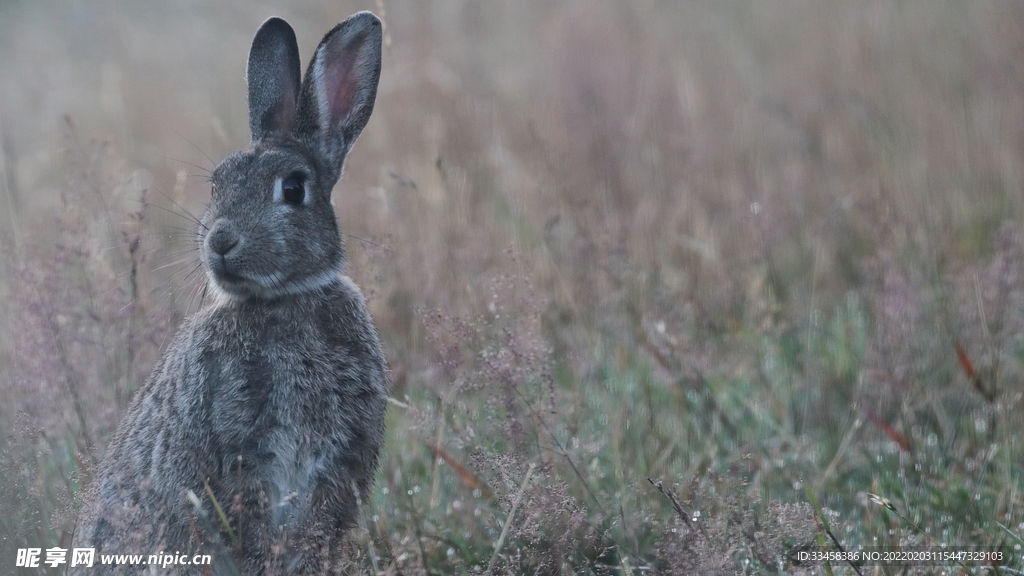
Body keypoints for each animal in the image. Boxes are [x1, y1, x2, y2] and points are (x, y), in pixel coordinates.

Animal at [72, 11, 389, 569]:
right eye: (216, 183)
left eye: (293, 188)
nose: (220, 241)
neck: (284, 300)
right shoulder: (238, 455)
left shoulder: (335, 467)